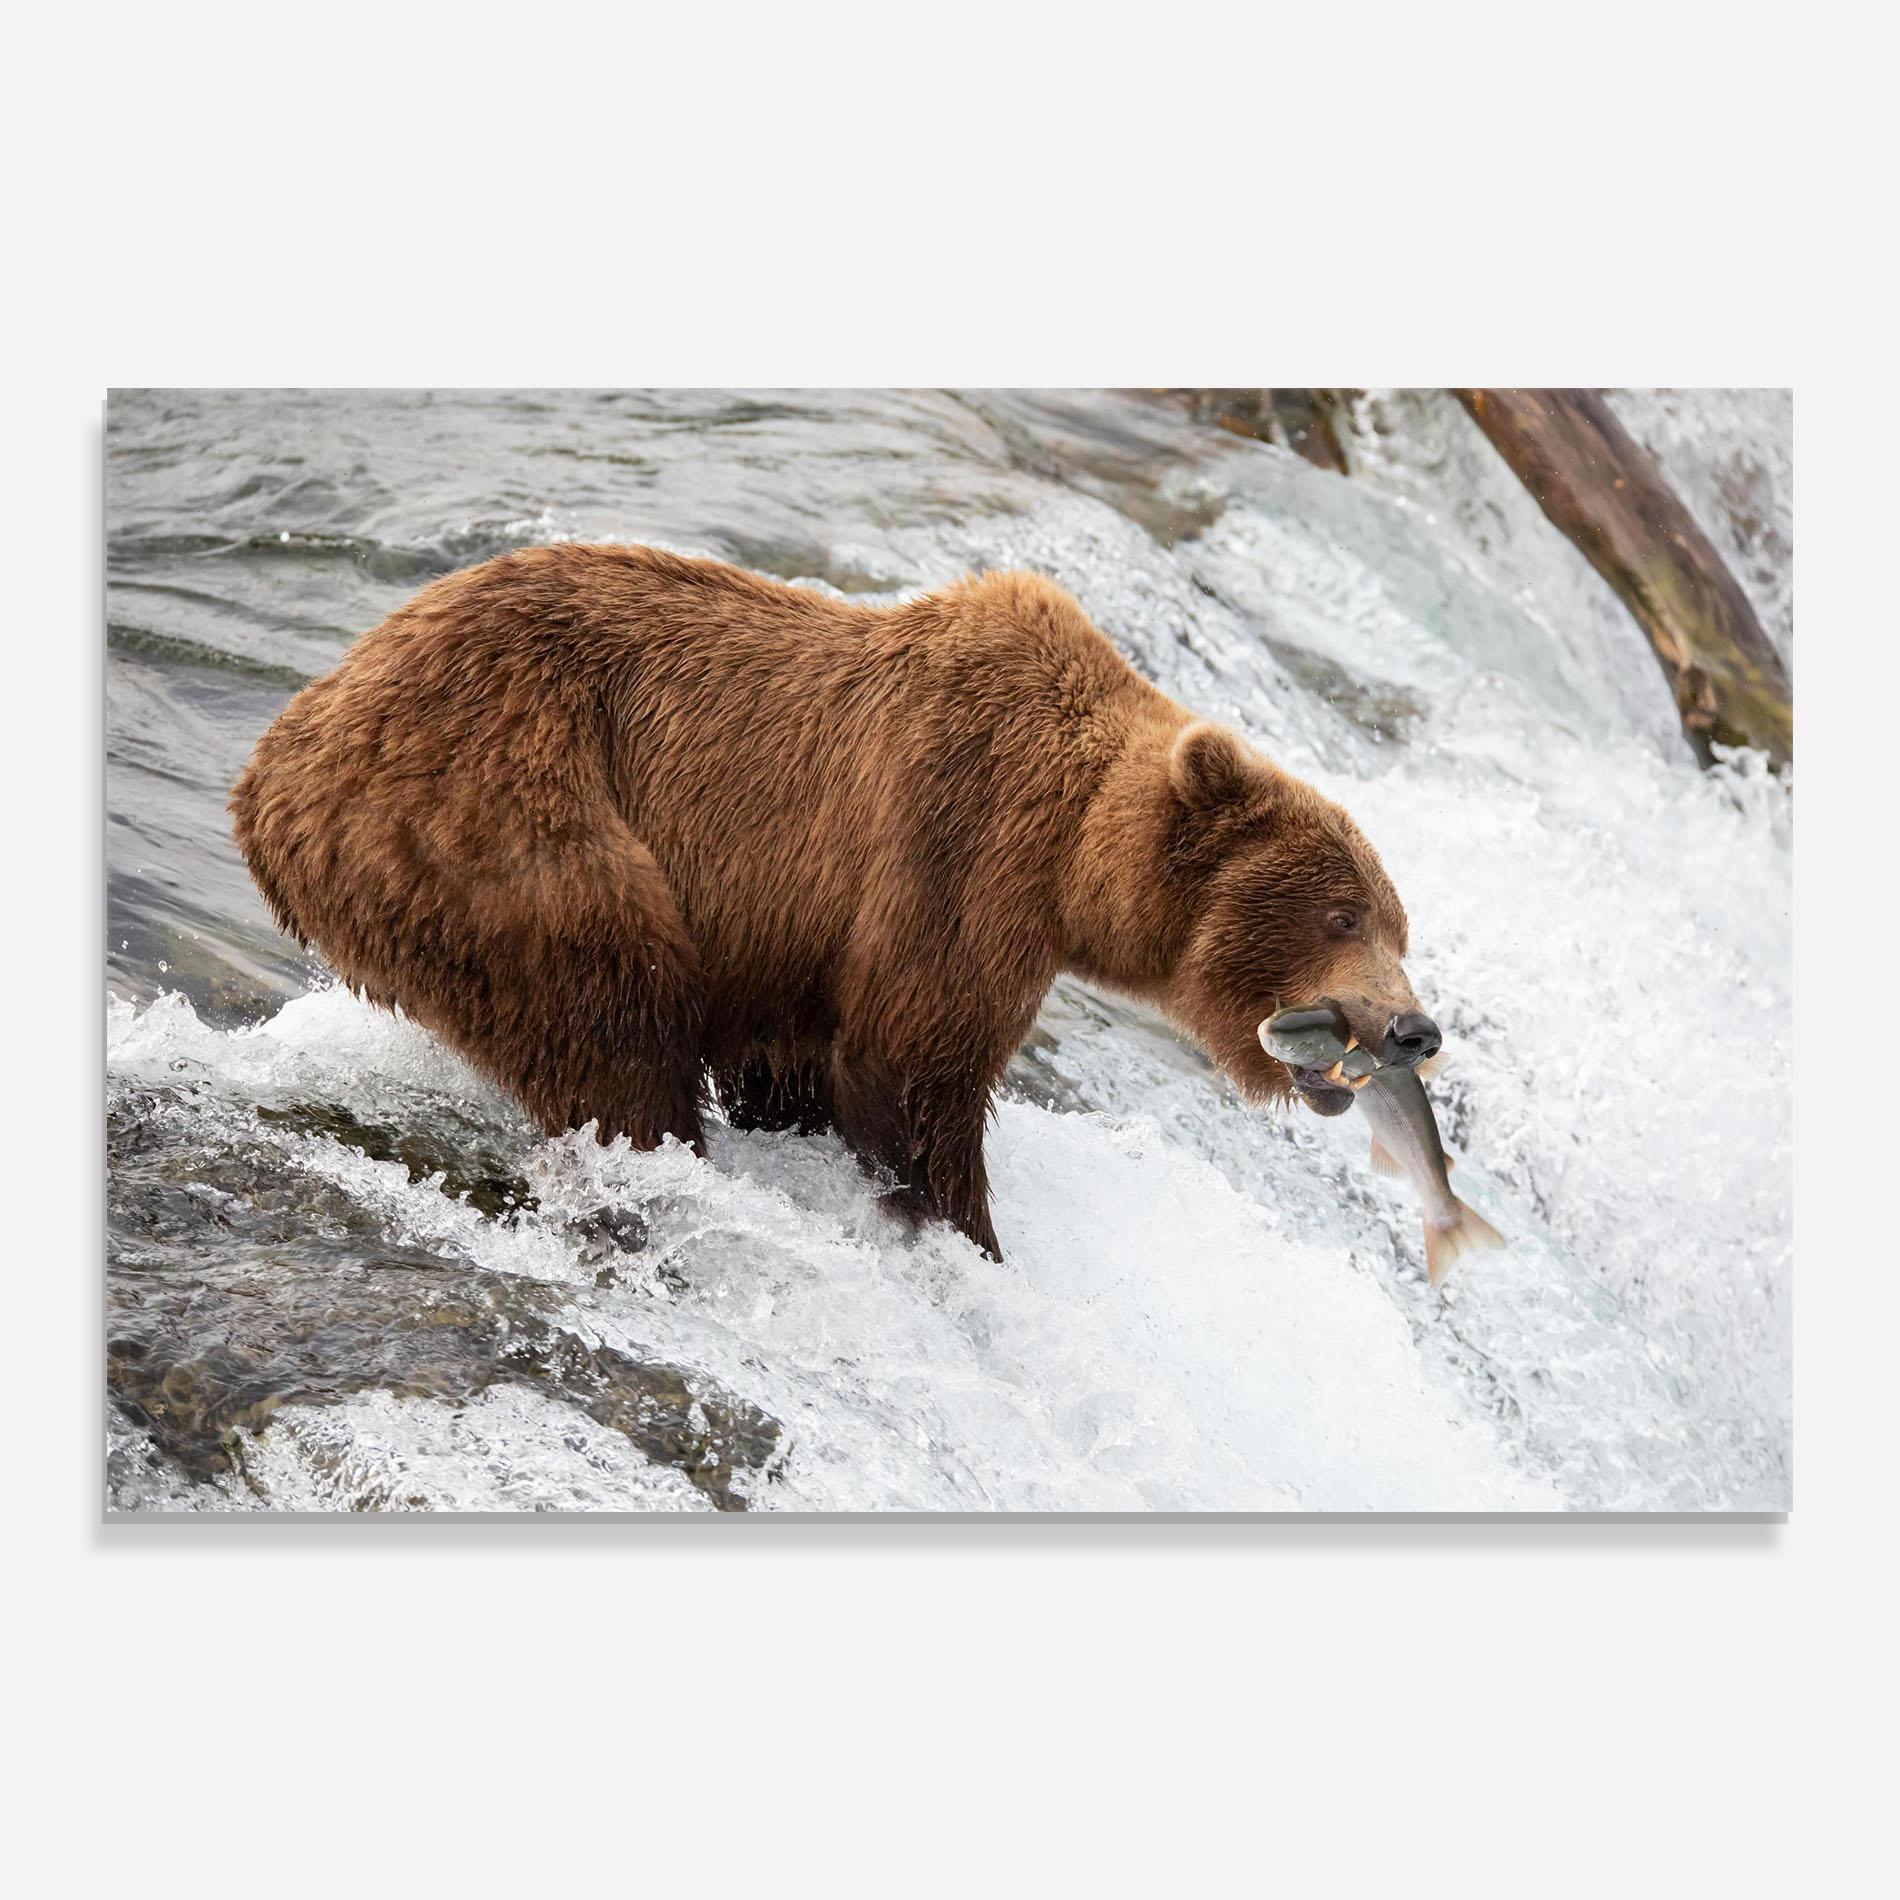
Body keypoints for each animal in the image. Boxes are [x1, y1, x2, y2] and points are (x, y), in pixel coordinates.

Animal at [231, 543, 1439, 1259]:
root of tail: (275, 763)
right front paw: (965, 1235)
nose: (1413, 1029)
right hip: (498, 812)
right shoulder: (957, 849)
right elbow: (913, 1068)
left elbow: (801, 1062)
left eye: (1398, 924)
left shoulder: (796, 942)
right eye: (1342, 915)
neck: (1072, 858)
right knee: (611, 1013)